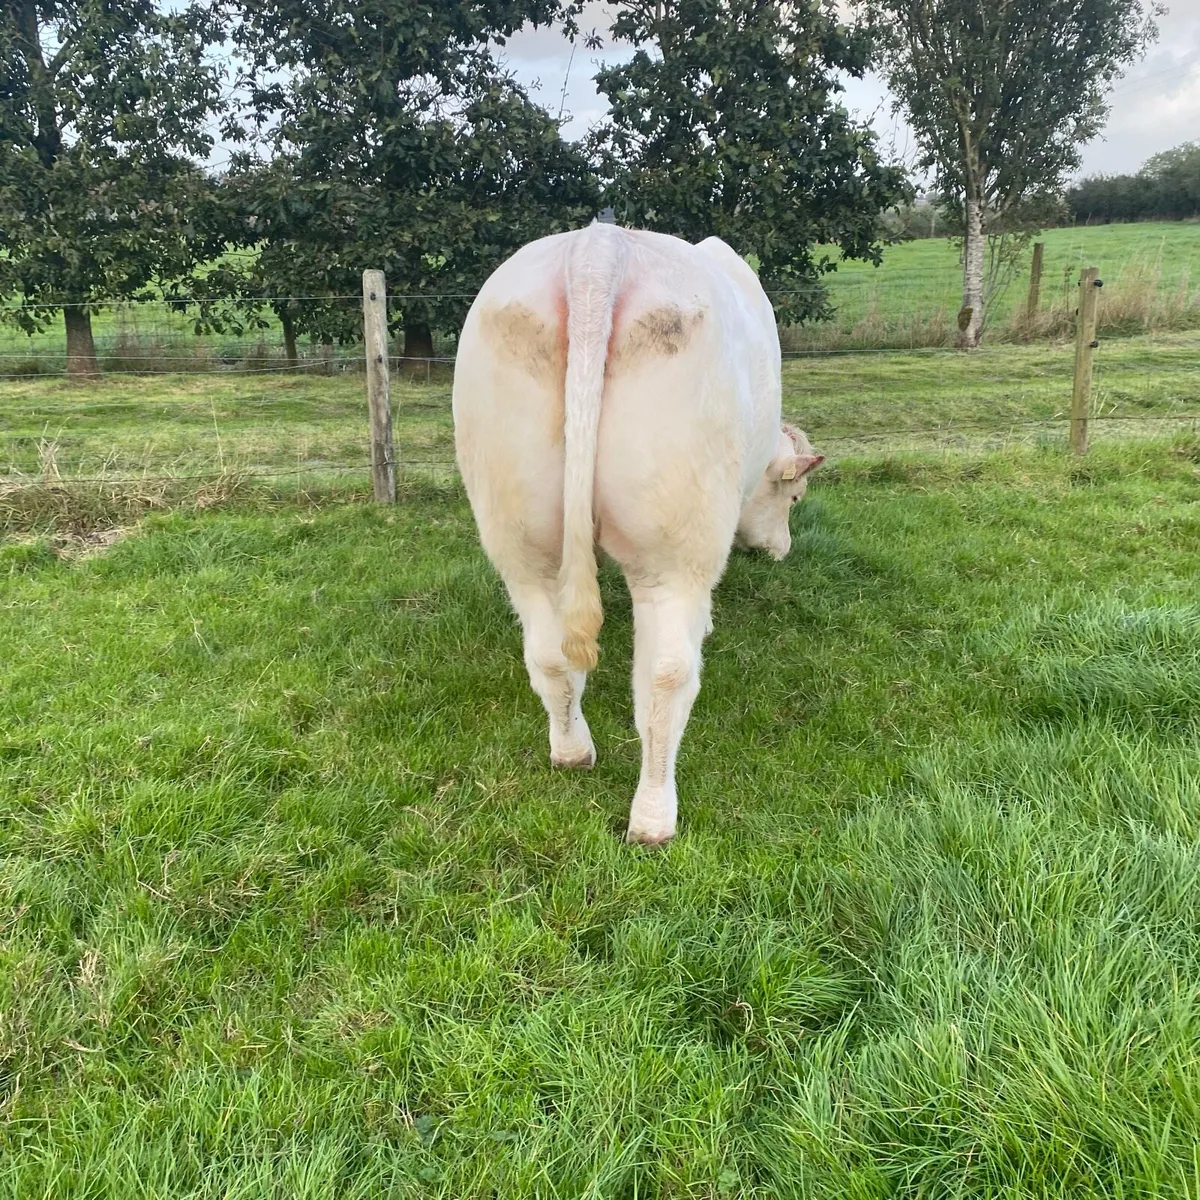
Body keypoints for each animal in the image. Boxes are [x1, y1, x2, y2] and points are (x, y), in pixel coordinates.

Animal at [452, 223, 823, 844]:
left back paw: (572, 752)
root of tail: (598, 247)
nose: (782, 550)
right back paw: (653, 816)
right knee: (666, 674)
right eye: (793, 499)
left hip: (517, 528)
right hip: (673, 541)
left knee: (550, 653)